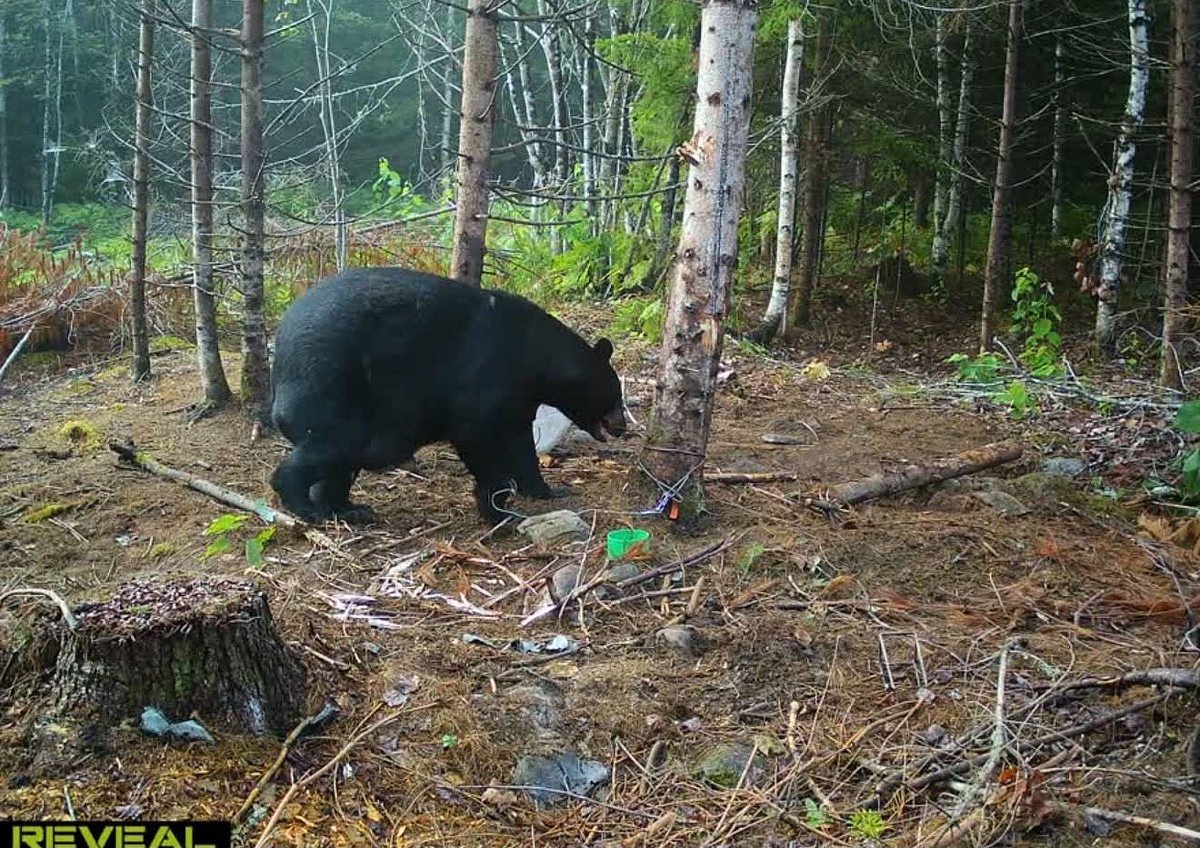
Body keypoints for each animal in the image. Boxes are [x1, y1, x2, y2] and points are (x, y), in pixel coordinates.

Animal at [268, 266, 627, 525]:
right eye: (615, 394)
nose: (623, 426)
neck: (533, 359)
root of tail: (281, 348)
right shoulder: (482, 381)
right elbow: (476, 435)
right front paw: (496, 507)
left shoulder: (518, 402)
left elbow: (523, 447)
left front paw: (546, 491)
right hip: (328, 388)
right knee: (328, 448)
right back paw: (308, 508)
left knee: (340, 464)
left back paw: (350, 510)